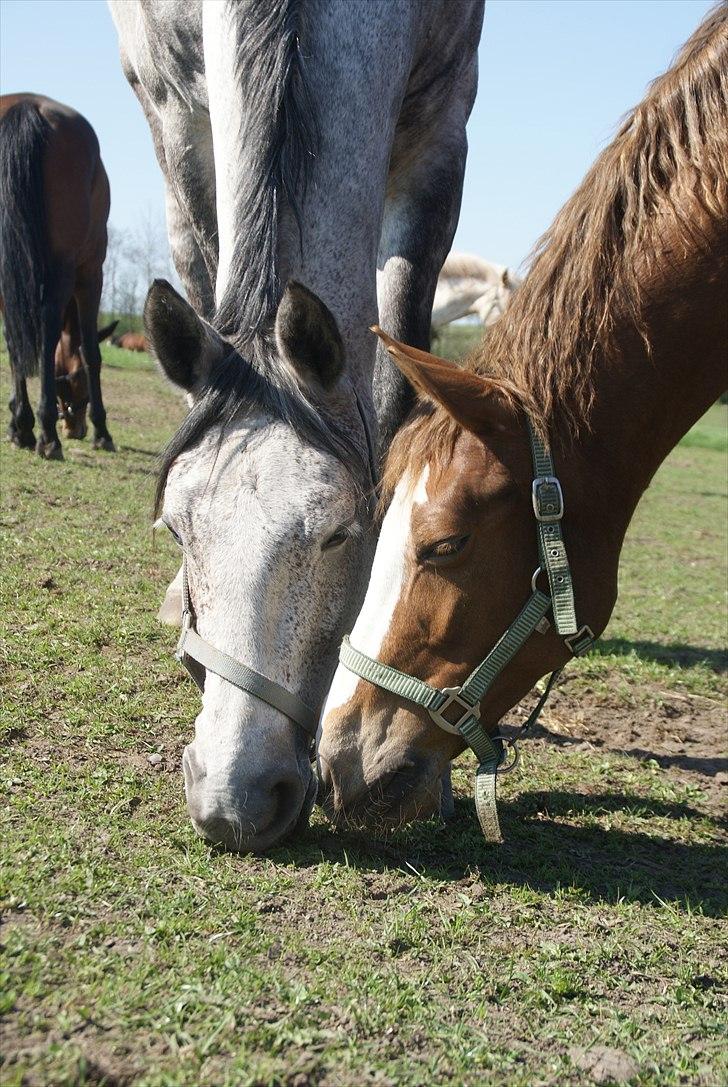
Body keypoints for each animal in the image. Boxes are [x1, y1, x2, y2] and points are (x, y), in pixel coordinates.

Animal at [0, 94, 116, 459]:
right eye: (74, 377)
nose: (75, 428)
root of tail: (25, 105)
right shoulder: (91, 274)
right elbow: (92, 352)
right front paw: (102, 431)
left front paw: (17, 423)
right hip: (65, 269)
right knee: (47, 325)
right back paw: (48, 434)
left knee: (17, 339)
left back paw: (26, 427)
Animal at [110, 0, 485, 851]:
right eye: (177, 530)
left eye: (344, 534)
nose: (237, 796)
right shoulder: (177, 117)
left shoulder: (440, 137)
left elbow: (397, 375)